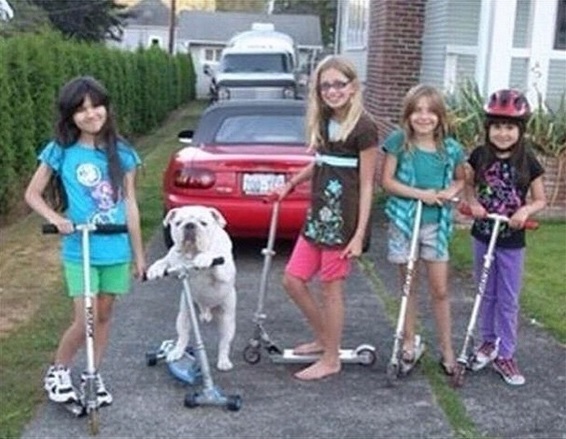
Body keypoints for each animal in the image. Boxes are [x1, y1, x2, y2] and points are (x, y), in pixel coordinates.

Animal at [146, 205, 237, 371]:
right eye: (178, 223)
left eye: (203, 223)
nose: (189, 225)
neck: (192, 253)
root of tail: (206, 312)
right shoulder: (173, 263)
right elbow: (163, 261)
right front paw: (155, 269)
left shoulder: (225, 271)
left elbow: (213, 256)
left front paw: (205, 258)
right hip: (184, 316)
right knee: (183, 336)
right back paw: (176, 352)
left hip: (227, 320)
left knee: (224, 342)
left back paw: (223, 361)